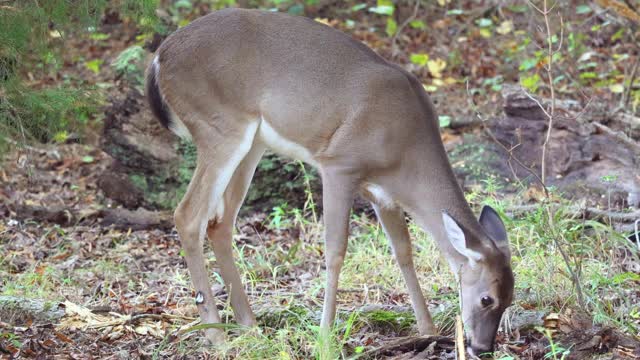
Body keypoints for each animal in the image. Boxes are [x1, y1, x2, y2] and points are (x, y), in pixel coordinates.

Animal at [146, 8, 516, 358]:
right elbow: (336, 251)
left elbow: (403, 252)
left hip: (252, 143)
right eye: (486, 299)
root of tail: (159, 57)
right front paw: (325, 337)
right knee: (188, 215)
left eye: (511, 298)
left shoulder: (382, 193)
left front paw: (427, 329)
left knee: (220, 223)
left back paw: (249, 325)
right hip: (219, 126)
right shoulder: (340, 165)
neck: (405, 154)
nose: (483, 348)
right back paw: (216, 335)